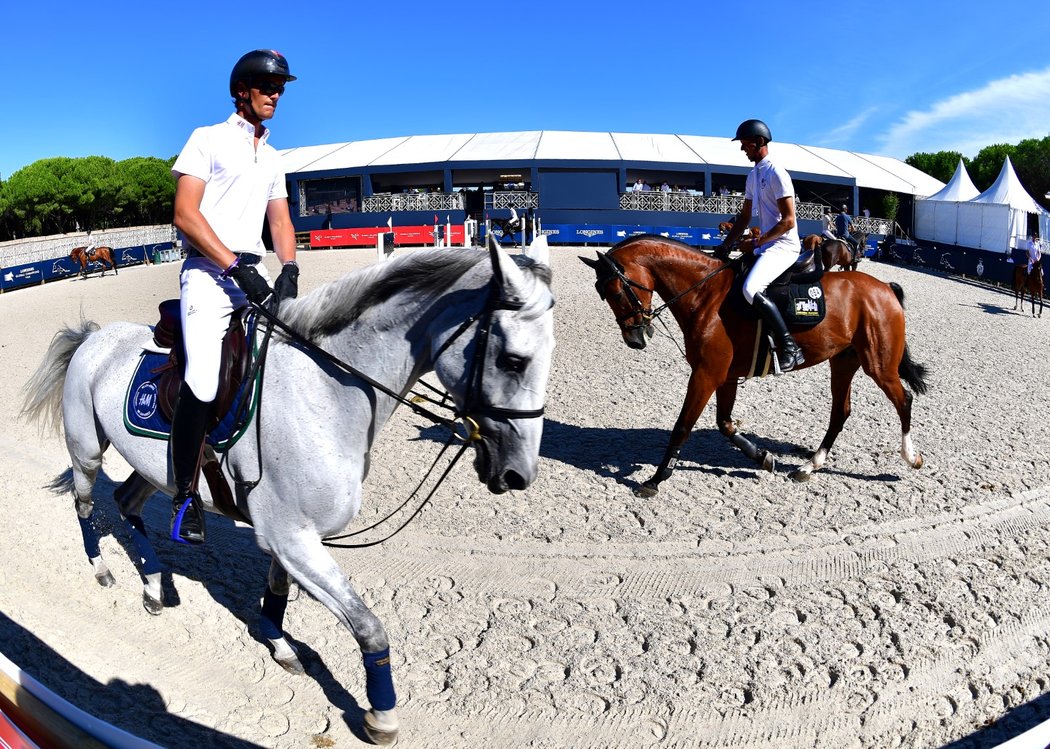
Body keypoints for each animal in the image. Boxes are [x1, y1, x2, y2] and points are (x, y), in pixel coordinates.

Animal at [18, 239, 558, 743]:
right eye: (513, 361)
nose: (518, 474)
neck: (326, 391)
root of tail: (95, 336)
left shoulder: (289, 535)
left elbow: (277, 593)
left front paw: (278, 644)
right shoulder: (292, 536)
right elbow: (369, 627)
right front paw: (381, 716)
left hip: (157, 471)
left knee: (126, 503)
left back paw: (153, 585)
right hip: (87, 450)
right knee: (85, 505)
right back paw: (103, 569)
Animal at [579, 233, 932, 491]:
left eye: (616, 290)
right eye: (602, 292)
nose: (634, 339)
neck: (705, 295)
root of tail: (885, 287)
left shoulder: (706, 373)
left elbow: (682, 426)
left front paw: (655, 479)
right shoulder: (723, 375)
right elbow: (724, 424)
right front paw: (763, 457)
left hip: (878, 364)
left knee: (904, 400)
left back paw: (911, 457)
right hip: (844, 362)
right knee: (840, 413)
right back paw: (809, 466)